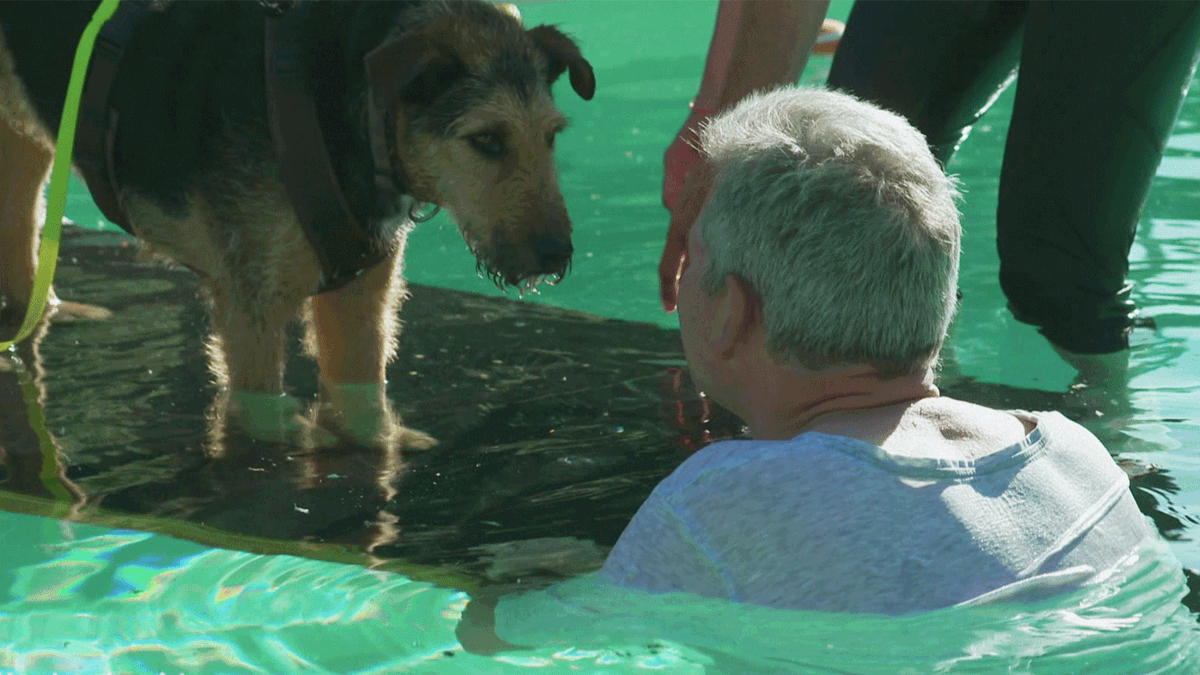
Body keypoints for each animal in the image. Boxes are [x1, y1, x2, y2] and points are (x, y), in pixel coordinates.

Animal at [0, 1, 595, 451]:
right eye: (486, 139)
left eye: (551, 136)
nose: (556, 253)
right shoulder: (252, 307)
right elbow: (261, 415)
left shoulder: (361, 297)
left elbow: (364, 408)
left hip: (23, 147)